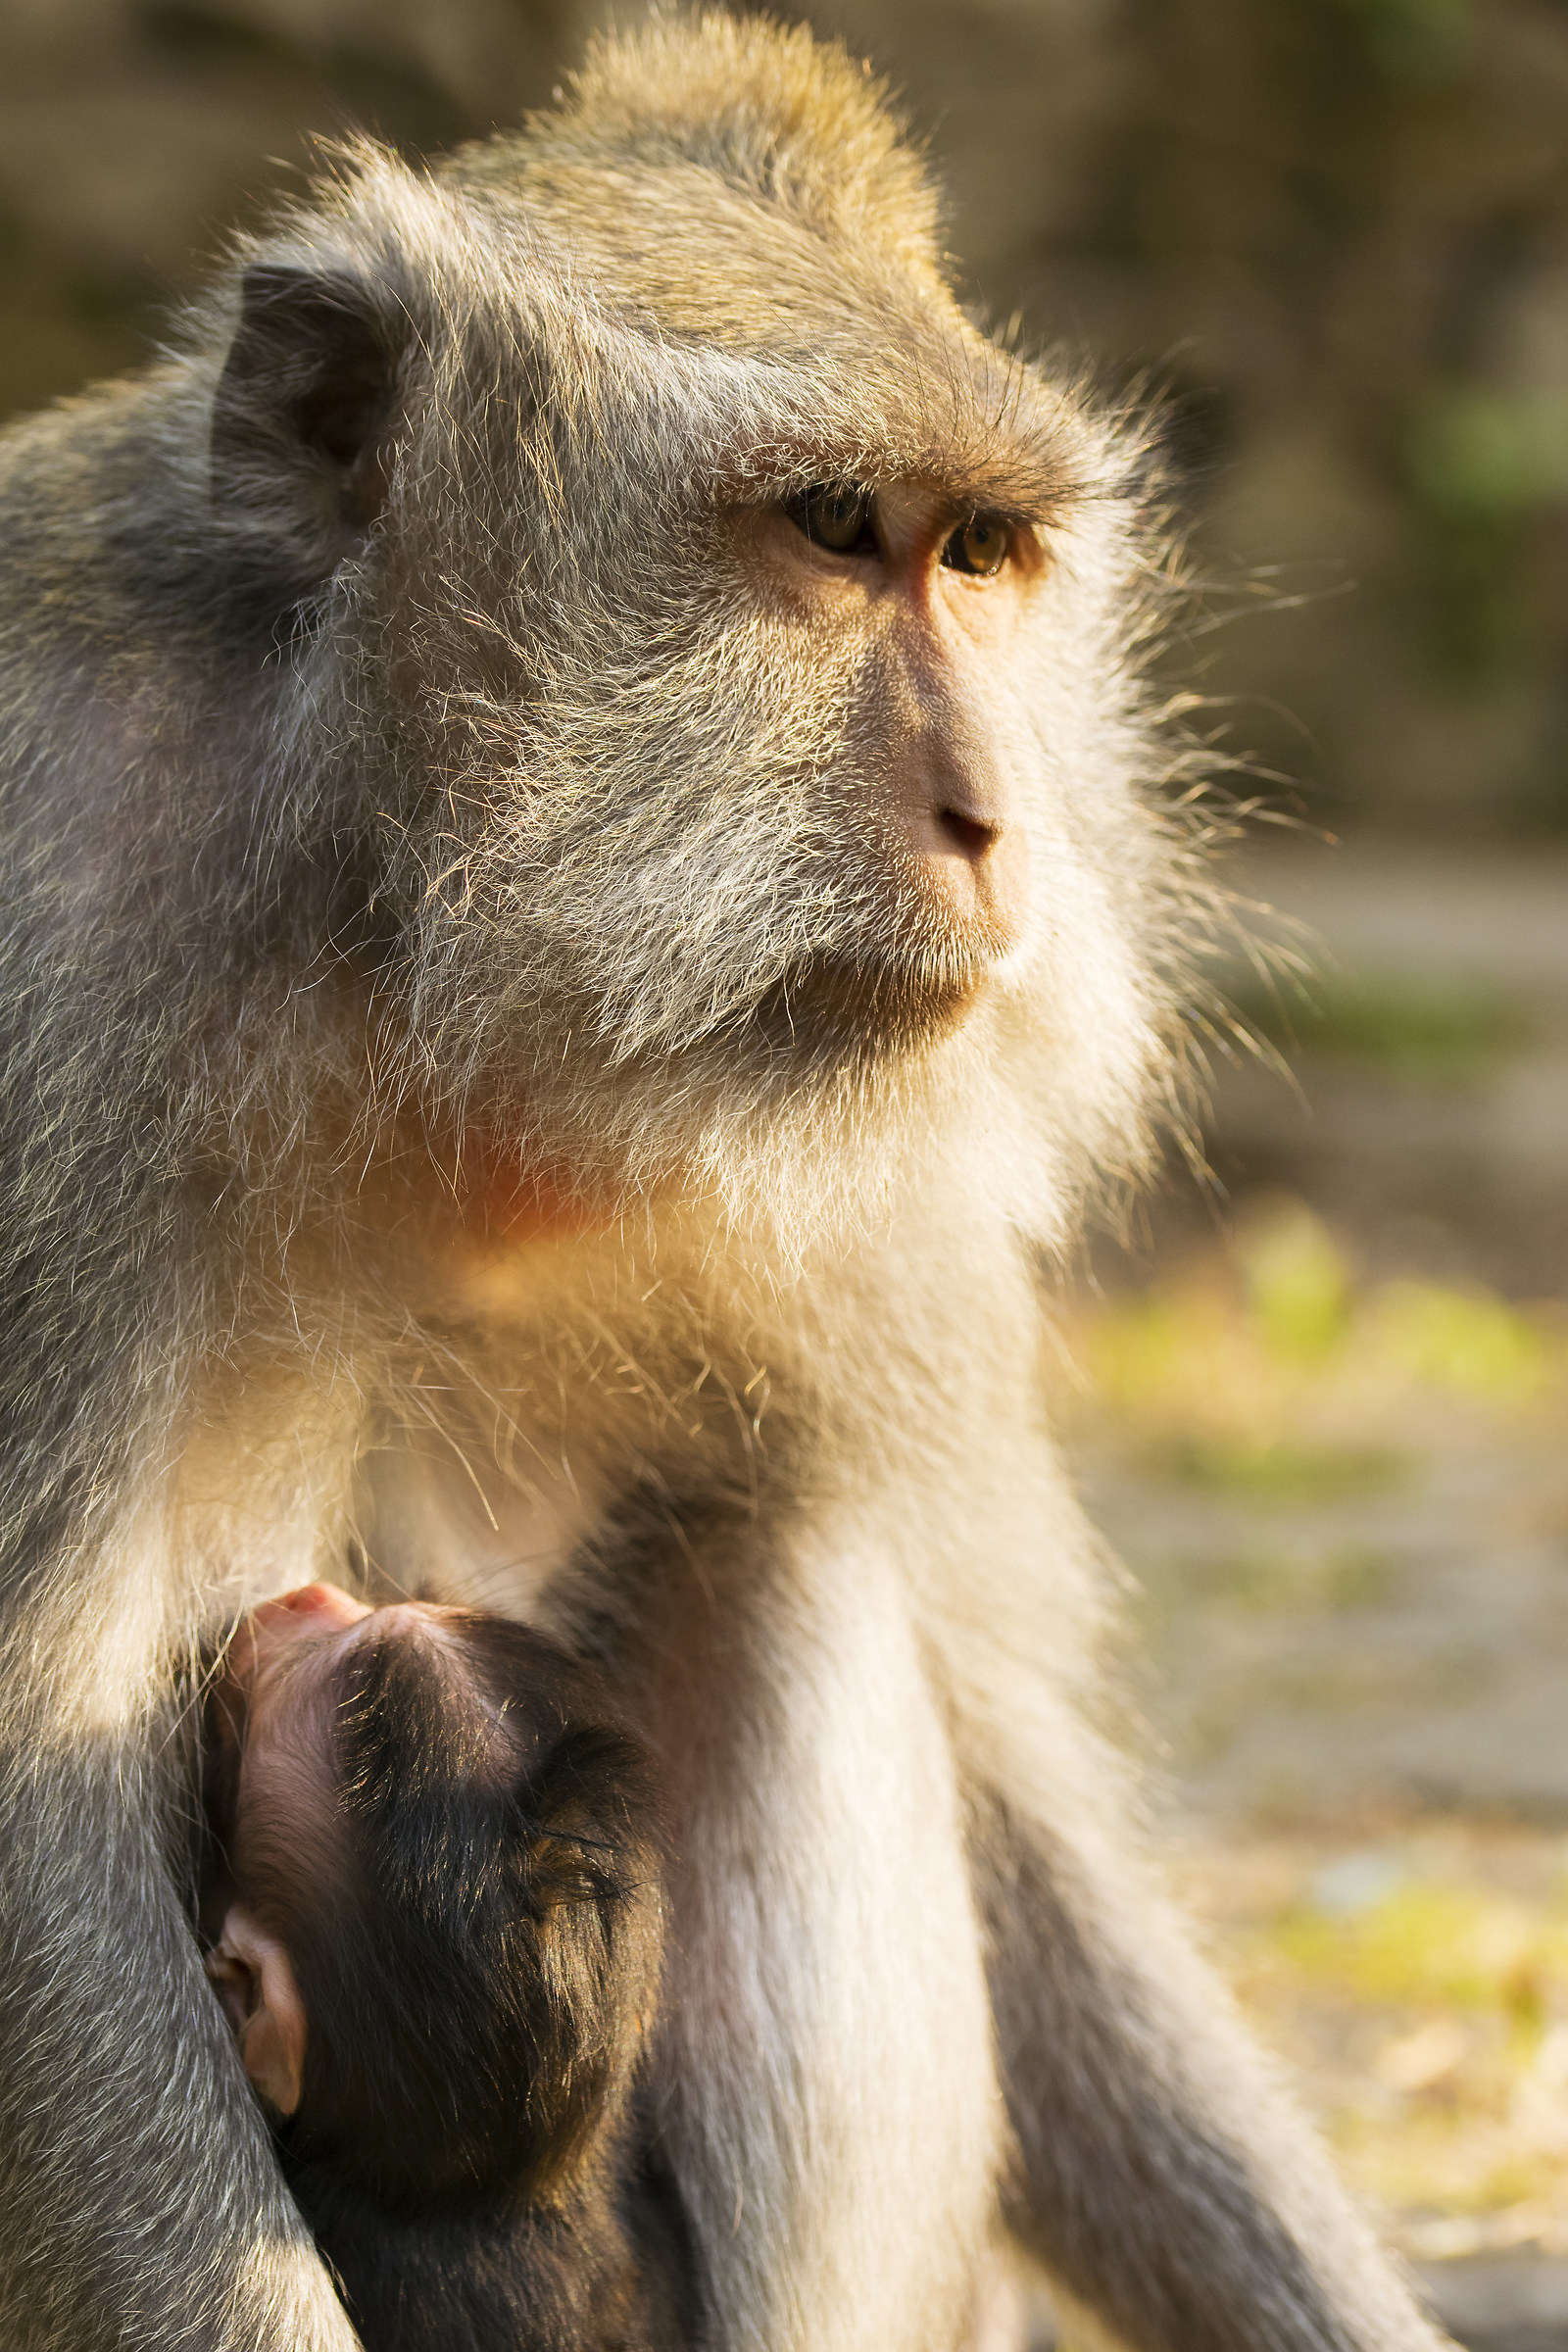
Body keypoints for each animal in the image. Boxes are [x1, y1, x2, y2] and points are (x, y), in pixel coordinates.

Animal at [0, 12, 1454, 2351]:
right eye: (834, 532)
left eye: (983, 557)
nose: (995, 818)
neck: (426, 961)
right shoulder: (57, 919)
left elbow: (1002, 1782)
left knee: (794, 1556)